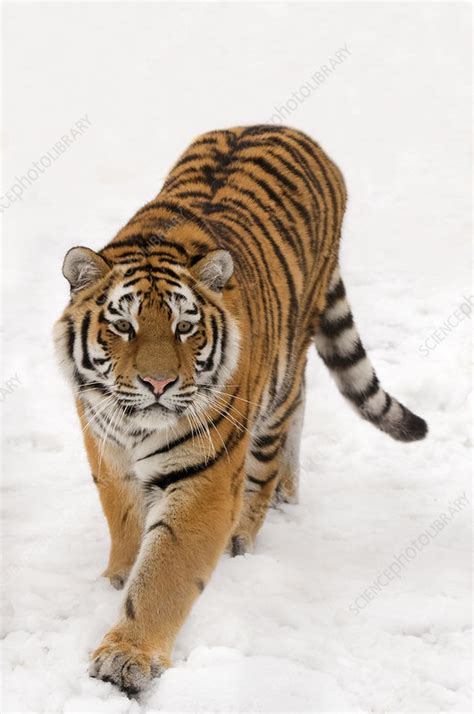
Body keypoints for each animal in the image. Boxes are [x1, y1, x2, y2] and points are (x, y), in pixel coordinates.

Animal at [53, 125, 428, 692]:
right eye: (123, 326)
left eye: (185, 327)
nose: (158, 383)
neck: (137, 429)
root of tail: (289, 129)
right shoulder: (107, 448)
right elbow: (125, 524)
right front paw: (117, 577)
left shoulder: (203, 478)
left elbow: (163, 573)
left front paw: (127, 656)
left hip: (279, 382)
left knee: (276, 443)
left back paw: (250, 527)